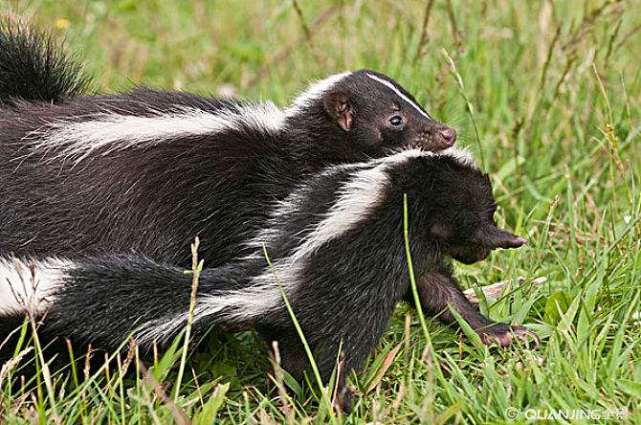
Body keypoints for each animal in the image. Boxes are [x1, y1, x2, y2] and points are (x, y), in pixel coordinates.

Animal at [0, 147, 528, 410]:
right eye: (487, 215)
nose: (493, 244)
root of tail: (266, 281)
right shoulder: (391, 240)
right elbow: (429, 288)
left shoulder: (412, 249)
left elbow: (439, 293)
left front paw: (502, 333)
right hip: (342, 296)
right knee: (330, 353)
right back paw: (342, 400)